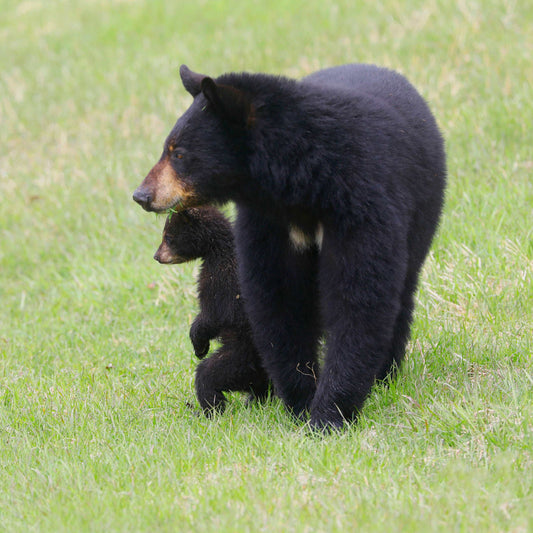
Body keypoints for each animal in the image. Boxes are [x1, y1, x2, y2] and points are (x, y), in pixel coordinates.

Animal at [154, 206, 270, 414]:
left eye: (168, 236)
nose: (157, 256)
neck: (217, 250)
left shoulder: (221, 280)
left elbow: (213, 315)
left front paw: (199, 347)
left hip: (240, 360)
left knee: (206, 376)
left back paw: (206, 411)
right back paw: (253, 401)